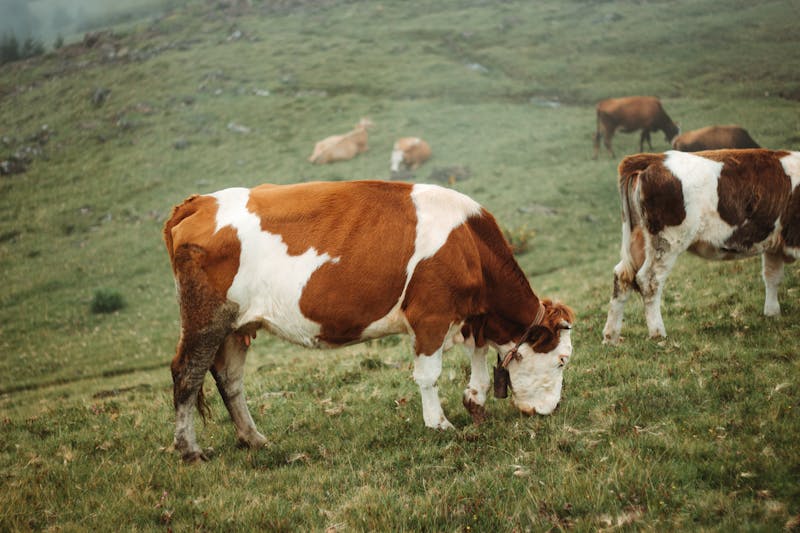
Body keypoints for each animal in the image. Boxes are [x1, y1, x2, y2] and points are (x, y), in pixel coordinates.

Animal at [163, 180, 575, 462]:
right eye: (562, 360)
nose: (552, 410)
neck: (470, 243)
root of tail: (199, 202)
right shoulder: (431, 314)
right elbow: (429, 375)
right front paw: (439, 423)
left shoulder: (472, 316)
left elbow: (480, 357)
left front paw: (475, 402)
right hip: (205, 317)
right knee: (186, 375)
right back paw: (189, 450)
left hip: (237, 325)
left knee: (230, 380)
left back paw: (254, 439)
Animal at [603, 149, 800, 344]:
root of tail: (656, 158)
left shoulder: (774, 246)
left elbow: (772, 277)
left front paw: (772, 314)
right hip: (667, 242)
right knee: (649, 280)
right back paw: (658, 334)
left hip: (639, 241)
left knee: (622, 277)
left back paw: (611, 337)